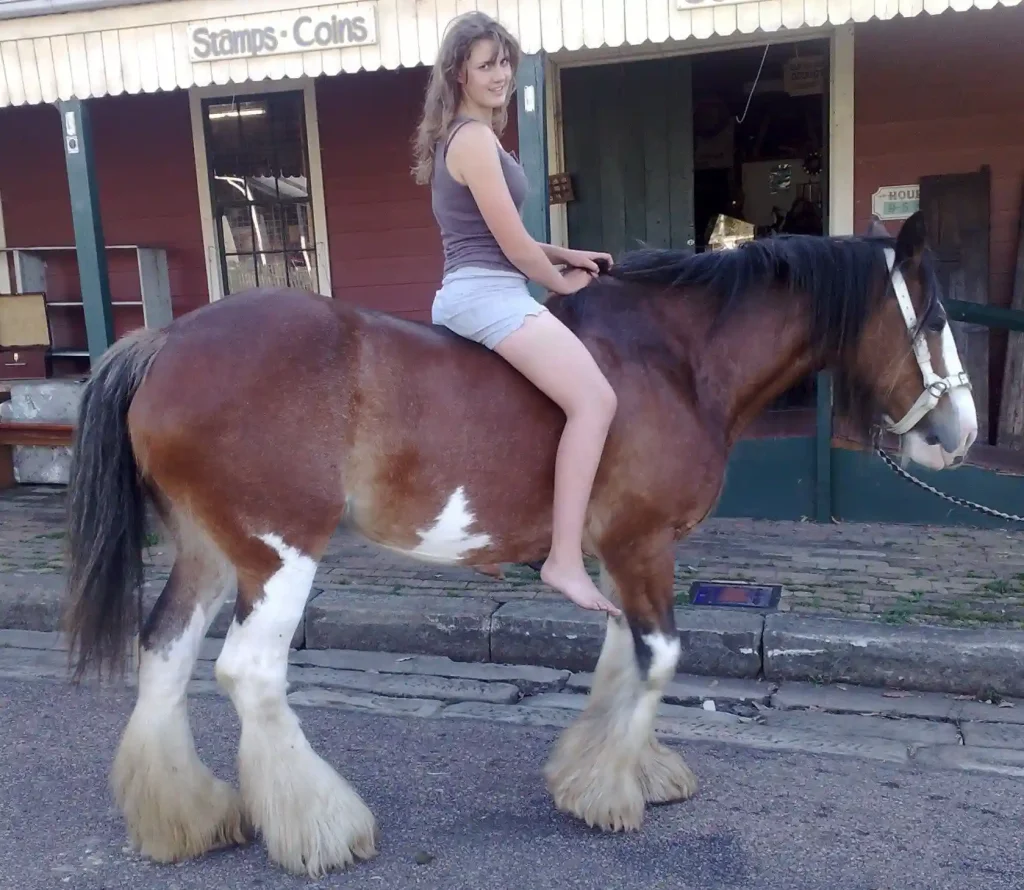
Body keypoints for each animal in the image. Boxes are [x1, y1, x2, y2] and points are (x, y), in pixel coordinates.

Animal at [61, 212, 974, 876]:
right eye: (932, 317)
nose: (961, 436)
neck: (673, 361)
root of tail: (165, 342)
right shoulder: (642, 546)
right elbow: (660, 659)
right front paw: (610, 790)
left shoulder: (616, 554)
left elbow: (619, 653)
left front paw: (607, 769)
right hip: (278, 556)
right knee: (249, 674)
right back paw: (321, 828)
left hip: (209, 555)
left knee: (165, 653)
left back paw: (183, 818)